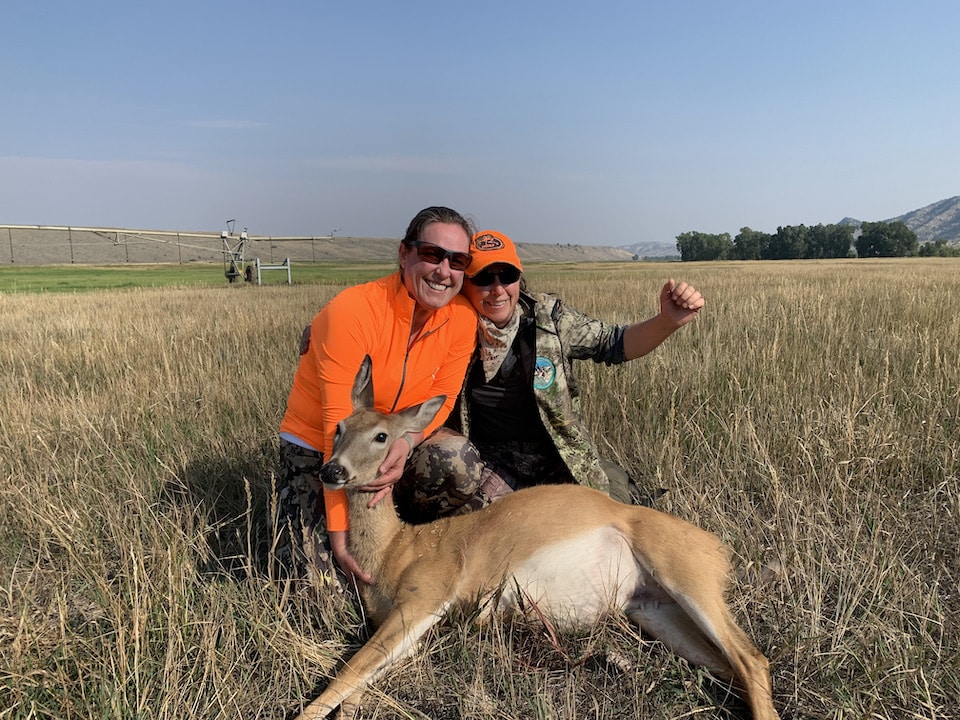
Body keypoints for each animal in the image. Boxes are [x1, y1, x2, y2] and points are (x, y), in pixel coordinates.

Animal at [298, 358, 780, 716]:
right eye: (339, 427)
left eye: (382, 436)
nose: (332, 470)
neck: (395, 551)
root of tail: (721, 550)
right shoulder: (408, 629)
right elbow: (356, 687)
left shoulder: (425, 598)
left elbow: (344, 676)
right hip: (654, 610)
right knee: (732, 666)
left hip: (685, 576)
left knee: (753, 659)